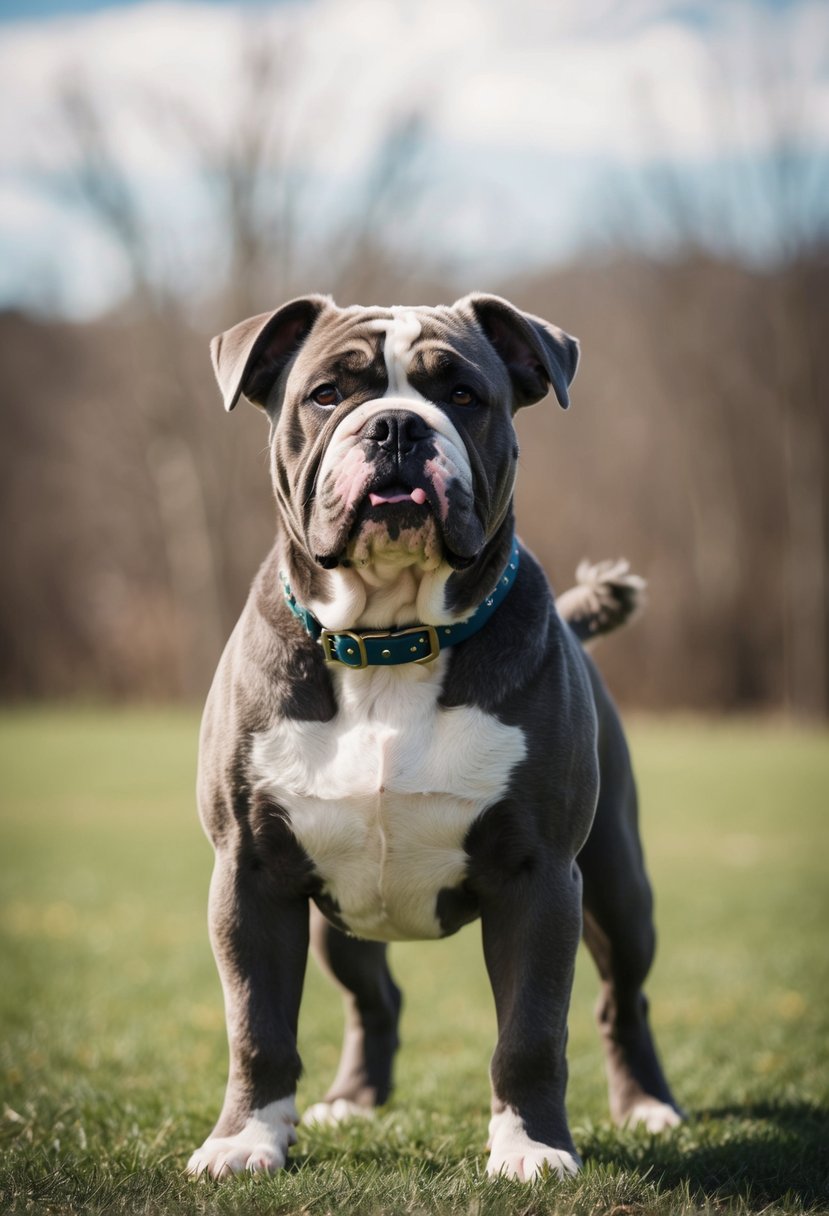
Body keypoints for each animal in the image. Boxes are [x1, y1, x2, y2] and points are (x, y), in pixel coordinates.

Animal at [185, 291, 675, 1177]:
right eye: (325, 394)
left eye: (462, 395)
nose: (394, 428)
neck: (390, 638)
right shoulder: (250, 874)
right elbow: (257, 1027)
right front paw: (245, 1140)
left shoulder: (539, 876)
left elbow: (529, 1032)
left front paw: (531, 1148)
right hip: (336, 923)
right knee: (373, 997)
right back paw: (351, 1101)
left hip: (620, 890)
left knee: (622, 999)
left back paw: (648, 1106)